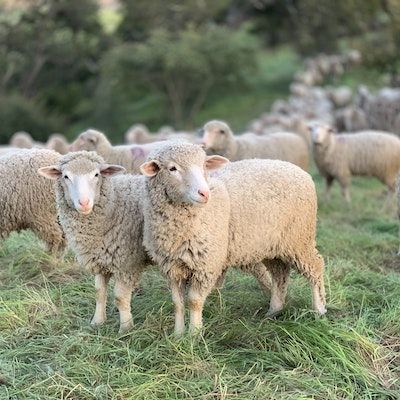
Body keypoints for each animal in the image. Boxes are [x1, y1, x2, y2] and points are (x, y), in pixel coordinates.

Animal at [38, 152, 151, 332]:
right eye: (66, 176)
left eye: (97, 174)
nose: (84, 203)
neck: (115, 203)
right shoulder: (99, 259)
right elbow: (99, 292)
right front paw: (97, 322)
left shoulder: (126, 262)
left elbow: (120, 297)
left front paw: (126, 328)